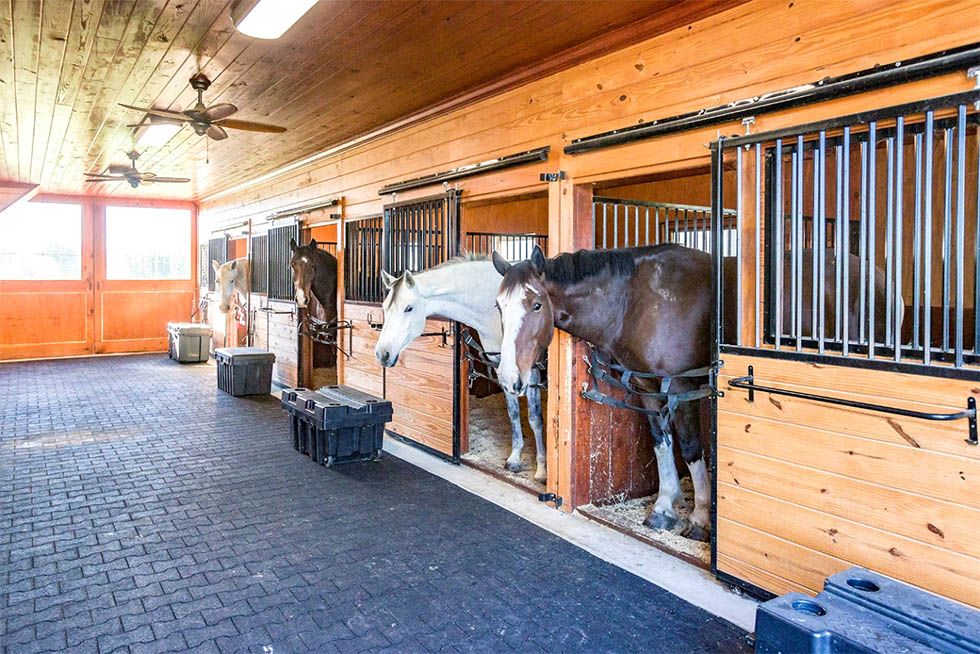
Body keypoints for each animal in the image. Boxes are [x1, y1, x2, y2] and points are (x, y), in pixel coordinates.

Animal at [374, 256, 547, 483]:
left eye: (408, 308)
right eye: (385, 307)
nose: (382, 354)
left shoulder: (532, 371)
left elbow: (535, 418)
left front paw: (542, 470)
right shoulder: (504, 370)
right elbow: (514, 413)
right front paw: (515, 459)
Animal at [492, 244, 891, 541]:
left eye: (536, 305)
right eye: (499, 306)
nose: (509, 377)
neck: (634, 302)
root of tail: (875, 274)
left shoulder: (682, 387)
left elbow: (690, 446)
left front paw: (700, 519)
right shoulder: (647, 386)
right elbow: (661, 441)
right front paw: (664, 508)